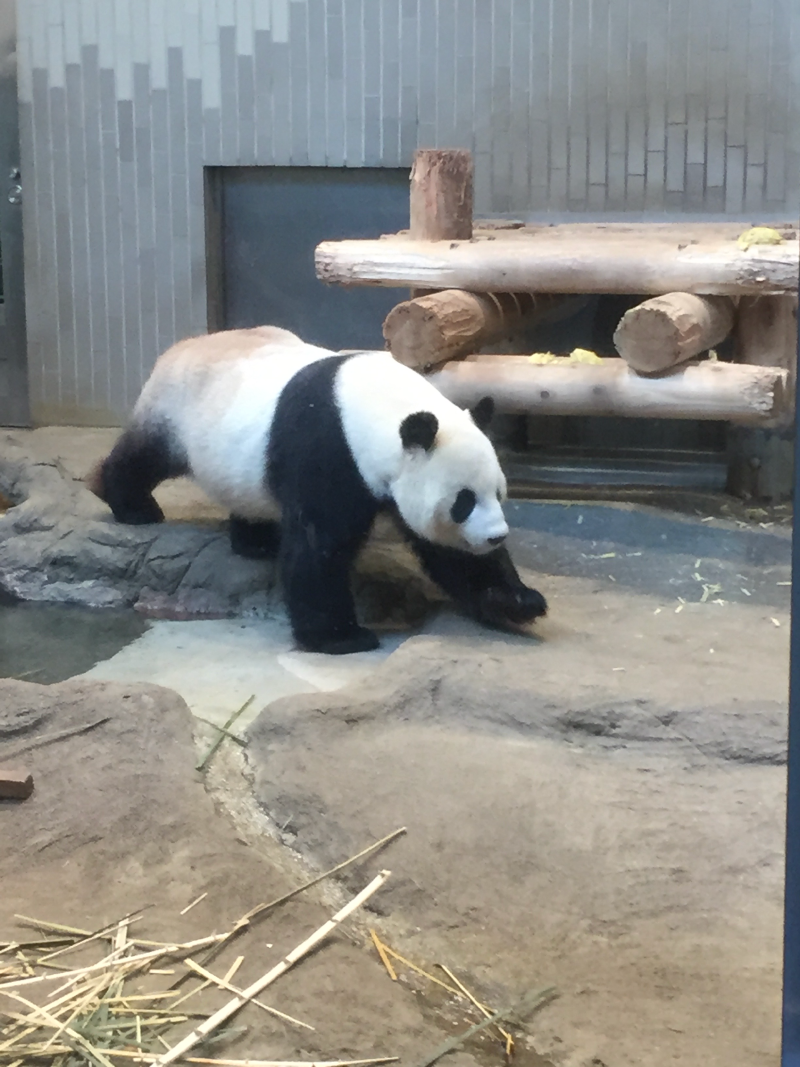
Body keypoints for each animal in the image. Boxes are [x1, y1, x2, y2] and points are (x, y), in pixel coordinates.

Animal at [88, 325, 547, 655]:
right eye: (462, 502)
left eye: (498, 494)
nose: (496, 536)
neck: (375, 405)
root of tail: (183, 345)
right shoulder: (329, 446)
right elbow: (319, 544)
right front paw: (341, 637)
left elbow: (450, 554)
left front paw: (518, 600)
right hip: (175, 410)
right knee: (144, 456)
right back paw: (132, 506)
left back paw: (256, 542)